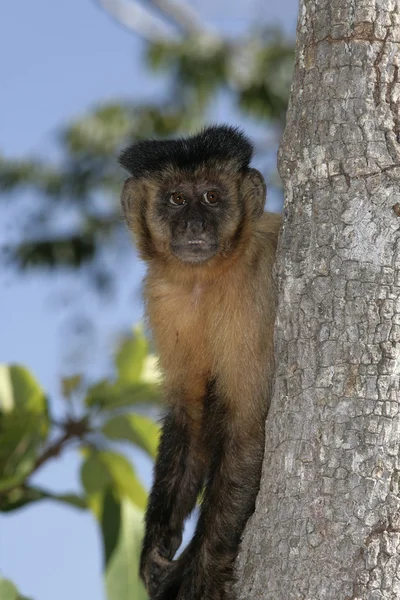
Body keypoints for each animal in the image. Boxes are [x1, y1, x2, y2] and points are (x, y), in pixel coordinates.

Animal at [119, 124, 282, 596]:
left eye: (211, 196)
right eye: (176, 198)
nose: (194, 224)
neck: (205, 279)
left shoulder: (252, 291)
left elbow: (246, 425)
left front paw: (199, 571)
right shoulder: (165, 299)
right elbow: (189, 411)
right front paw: (155, 549)